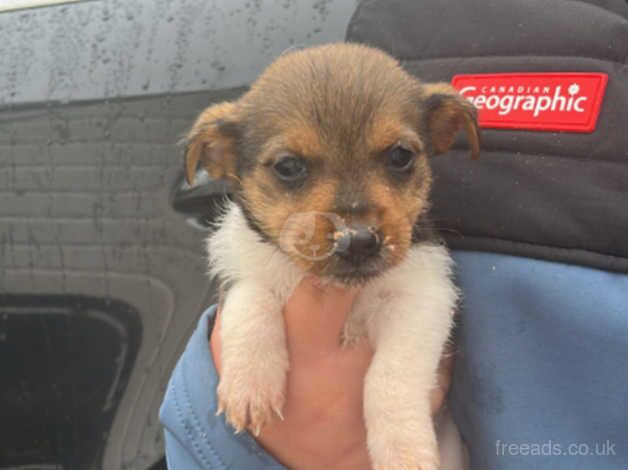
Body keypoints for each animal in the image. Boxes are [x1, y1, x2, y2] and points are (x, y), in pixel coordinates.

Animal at [184, 44, 478, 470]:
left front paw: (403, 447)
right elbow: (253, 303)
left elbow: (390, 378)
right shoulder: (237, 269)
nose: (357, 241)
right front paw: (250, 382)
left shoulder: (424, 299)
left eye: (400, 156)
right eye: (288, 166)